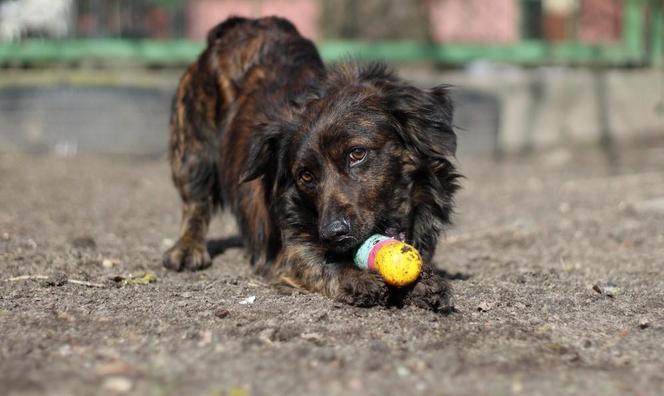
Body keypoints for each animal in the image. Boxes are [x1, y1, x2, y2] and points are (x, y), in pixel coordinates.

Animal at [163, 16, 460, 312]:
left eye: (357, 154)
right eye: (305, 176)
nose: (333, 233)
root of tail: (243, 22)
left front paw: (424, 282)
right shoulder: (289, 251)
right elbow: (320, 262)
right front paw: (354, 277)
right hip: (194, 152)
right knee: (195, 203)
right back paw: (187, 249)